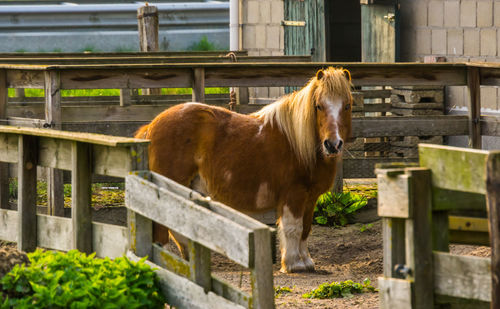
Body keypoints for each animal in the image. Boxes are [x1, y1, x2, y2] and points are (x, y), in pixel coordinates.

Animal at [135, 67, 354, 272]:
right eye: (319, 106)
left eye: (347, 106)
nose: (332, 144)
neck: (299, 143)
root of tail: (152, 125)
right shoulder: (294, 196)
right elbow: (293, 228)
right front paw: (294, 264)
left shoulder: (310, 198)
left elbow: (306, 228)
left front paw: (306, 262)